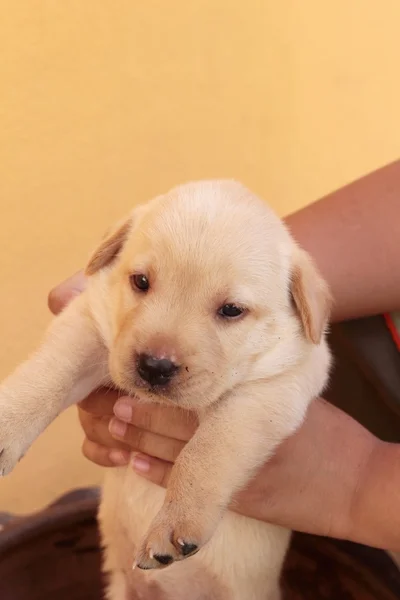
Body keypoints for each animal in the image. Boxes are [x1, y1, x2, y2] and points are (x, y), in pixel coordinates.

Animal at [0, 180, 332, 596]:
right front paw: (7, 425)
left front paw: (177, 521)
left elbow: (208, 450)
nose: (154, 367)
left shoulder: (272, 389)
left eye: (231, 310)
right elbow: (50, 372)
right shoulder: (90, 319)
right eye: (141, 282)